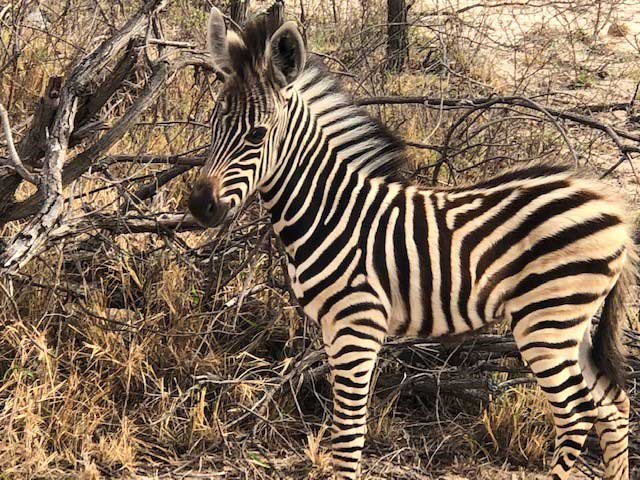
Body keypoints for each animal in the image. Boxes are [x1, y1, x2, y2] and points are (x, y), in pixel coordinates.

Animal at [186, 7, 636, 480]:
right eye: (213, 126)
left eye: (256, 135)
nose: (199, 207)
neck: (329, 210)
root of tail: (612, 206)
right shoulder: (331, 328)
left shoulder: (357, 325)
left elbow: (348, 434)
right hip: (571, 323)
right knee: (613, 404)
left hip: (546, 320)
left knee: (578, 415)